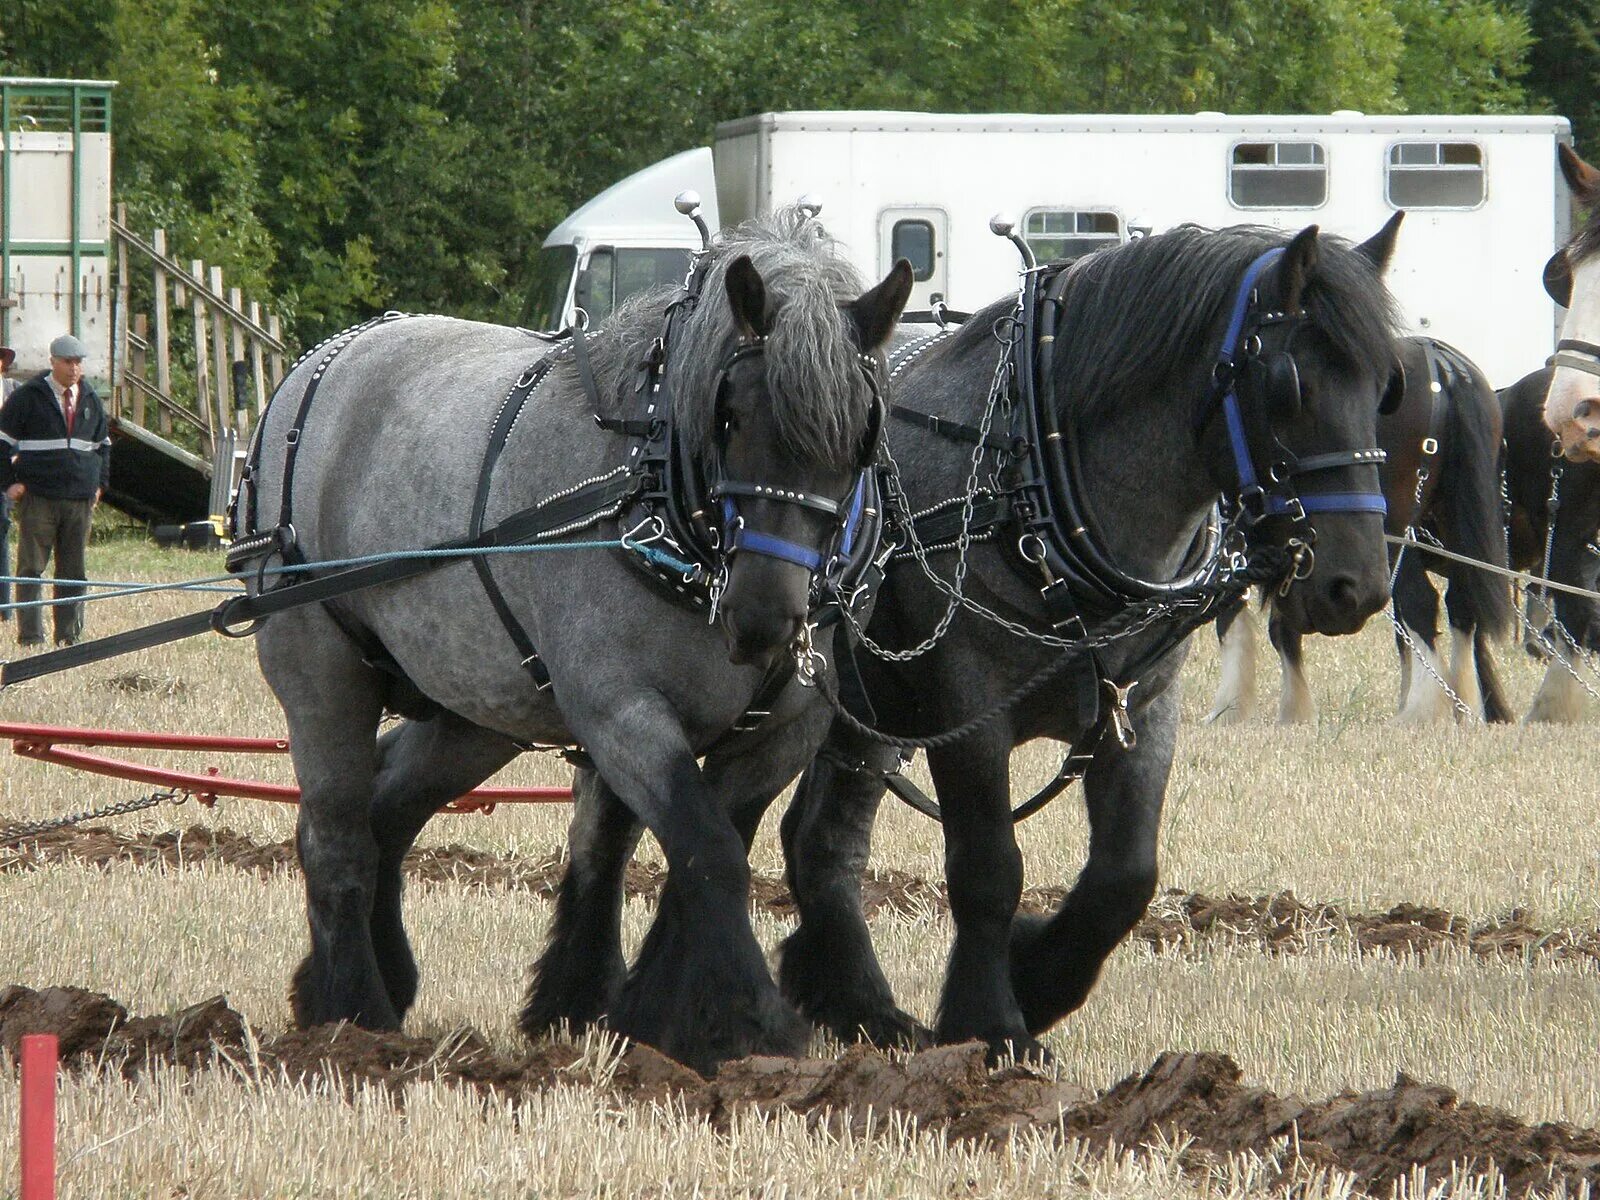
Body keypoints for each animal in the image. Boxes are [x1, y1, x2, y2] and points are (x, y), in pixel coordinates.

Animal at [243, 211, 908, 1075]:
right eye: (729, 413)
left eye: (861, 431)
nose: (765, 618)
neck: (657, 493)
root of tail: (318, 364)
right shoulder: (621, 714)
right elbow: (709, 852)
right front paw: (762, 1025)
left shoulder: (783, 732)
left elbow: (705, 854)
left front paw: (660, 1018)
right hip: (321, 670)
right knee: (336, 837)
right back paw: (356, 1015)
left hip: (477, 711)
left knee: (389, 808)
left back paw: (364, 981)